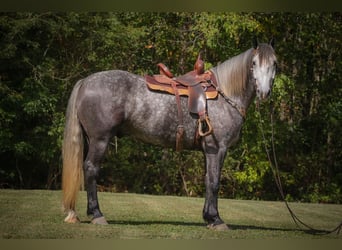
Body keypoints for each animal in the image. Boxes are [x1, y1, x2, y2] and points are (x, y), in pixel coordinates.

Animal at [60, 39, 276, 230]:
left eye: (274, 64)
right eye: (254, 63)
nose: (265, 92)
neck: (225, 94)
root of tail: (85, 82)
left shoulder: (208, 151)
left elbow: (208, 181)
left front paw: (208, 217)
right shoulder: (218, 149)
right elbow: (215, 183)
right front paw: (216, 220)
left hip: (91, 140)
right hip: (100, 140)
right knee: (91, 169)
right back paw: (97, 214)